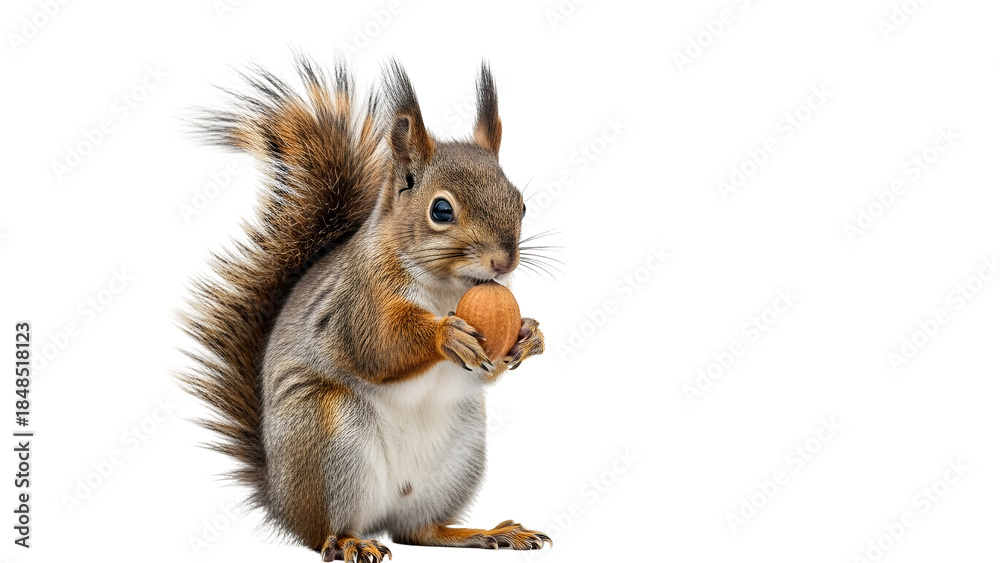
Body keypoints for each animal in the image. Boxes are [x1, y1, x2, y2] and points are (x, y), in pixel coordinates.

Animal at [178, 57, 550, 562]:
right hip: (329, 435)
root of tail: (280, 497)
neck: (447, 291)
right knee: (324, 533)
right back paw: (350, 541)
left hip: (460, 454)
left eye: (522, 203)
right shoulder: (357, 303)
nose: (505, 261)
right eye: (441, 210)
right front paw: (445, 335)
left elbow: (489, 366)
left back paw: (485, 533)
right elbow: (378, 346)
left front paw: (530, 334)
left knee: (417, 530)